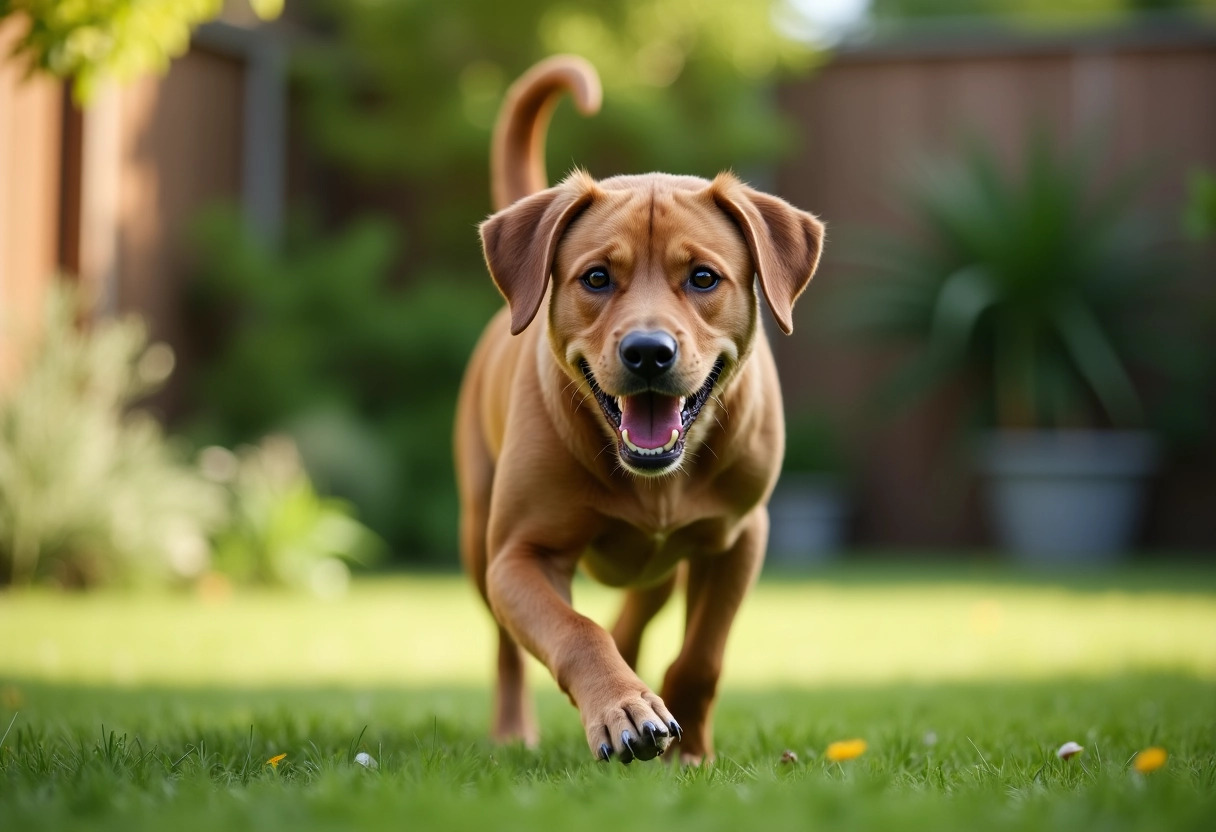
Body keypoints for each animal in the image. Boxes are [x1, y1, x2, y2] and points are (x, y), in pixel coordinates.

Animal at [457, 55, 826, 763]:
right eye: (597, 278)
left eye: (704, 278)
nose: (648, 352)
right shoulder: (518, 555)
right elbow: (576, 630)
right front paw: (622, 707)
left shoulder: (739, 537)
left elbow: (702, 656)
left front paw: (690, 749)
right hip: (477, 531)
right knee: (507, 648)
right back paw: (515, 729)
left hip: (666, 562)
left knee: (639, 608)